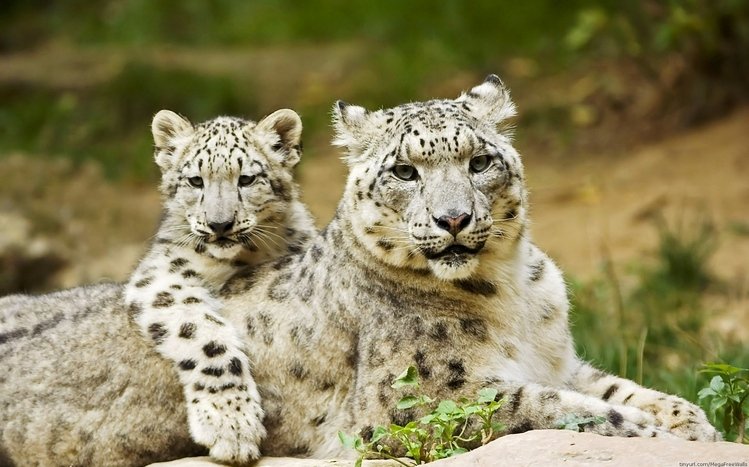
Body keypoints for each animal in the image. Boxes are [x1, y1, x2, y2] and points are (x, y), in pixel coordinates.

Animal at [0, 76, 718, 467]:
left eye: (480, 160)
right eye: (404, 170)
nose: (454, 218)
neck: (512, 290)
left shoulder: (559, 360)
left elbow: (620, 388)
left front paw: (694, 425)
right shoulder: (424, 402)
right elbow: (551, 407)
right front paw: (649, 433)